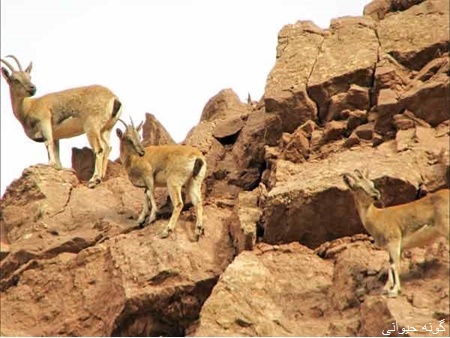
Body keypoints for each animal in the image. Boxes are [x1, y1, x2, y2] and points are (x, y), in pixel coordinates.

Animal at [0, 54, 122, 187]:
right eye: (15, 80)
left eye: (29, 76)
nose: (32, 88)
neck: (29, 107)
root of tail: (114, 98)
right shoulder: (56, 136)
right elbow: (56, 152)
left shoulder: (45, 121)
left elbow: (48, 144)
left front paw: (49, 164)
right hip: (106, 129)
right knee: (107, 147)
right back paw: (102, 176)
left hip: (92, 126)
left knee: (99, 149)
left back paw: (94, 180)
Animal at [342, 168, 448, 296]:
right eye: (359, 187)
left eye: (372, 183)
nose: (376, 194)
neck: (377, 217)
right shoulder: (395, 247)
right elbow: (391, 264)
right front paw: (387, 288)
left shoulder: (394, 241)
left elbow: (395, 265)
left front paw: (394, 291)